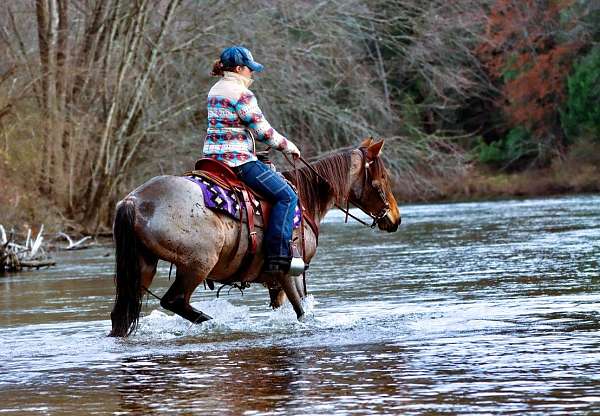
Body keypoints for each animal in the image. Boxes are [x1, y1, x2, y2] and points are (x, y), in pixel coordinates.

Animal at [110, 140, 400, 338]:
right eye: (383, 177)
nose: (395, 218)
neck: (306, 199)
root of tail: (133, 200)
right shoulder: (289, 271)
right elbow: (302, 311)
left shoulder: (274, 281)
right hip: (197, 264)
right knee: (174, 300)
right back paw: (215, 322)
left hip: (142, 267)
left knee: (120, 315)